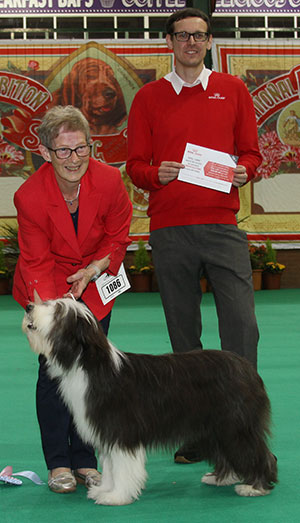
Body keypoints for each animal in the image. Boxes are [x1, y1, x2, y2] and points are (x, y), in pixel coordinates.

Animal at [22, 298, 278, 508]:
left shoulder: (121, 431)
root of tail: (246, 367)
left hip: (234, 424)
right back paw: (220, 478)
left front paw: (117, 496)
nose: (29, 306)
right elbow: (111, 467)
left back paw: (255, 486)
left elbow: (121, 467)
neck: (89, 365)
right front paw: (104, 490)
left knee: (257, 452)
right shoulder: (107, 433)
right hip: (216, 427)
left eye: (58, 310)